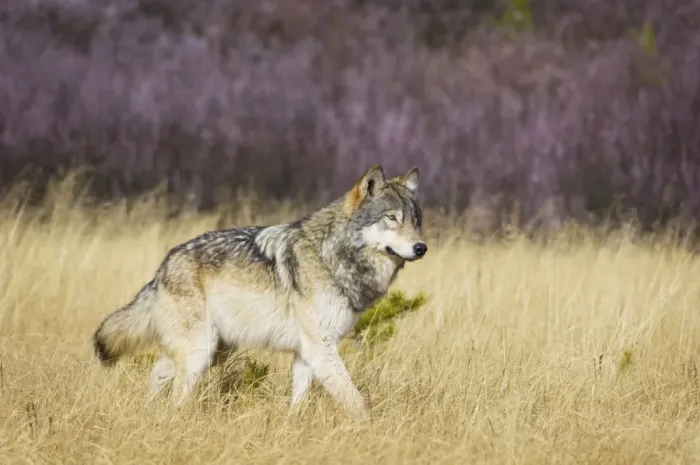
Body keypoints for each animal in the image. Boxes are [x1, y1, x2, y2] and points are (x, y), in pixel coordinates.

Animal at [92, 164, 427, 419]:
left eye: (415, 220)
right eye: (392, 218)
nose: (421, 248)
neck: (332, 255)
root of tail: (163, 266)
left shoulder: (306, 352)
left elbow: (299, 401)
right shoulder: (321, 349)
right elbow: (356, 402)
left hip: (214, 351)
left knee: (158, 371)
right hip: (201, 352)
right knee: (174, 388)